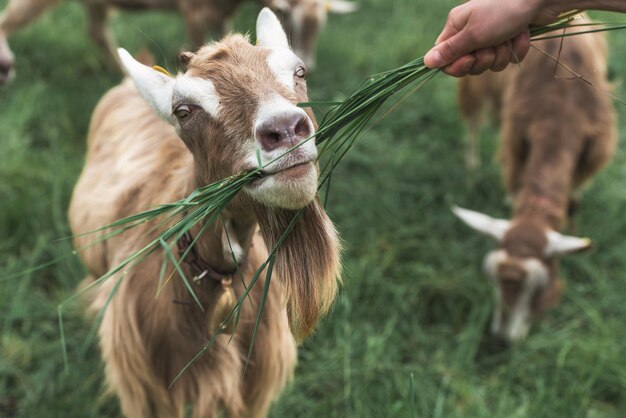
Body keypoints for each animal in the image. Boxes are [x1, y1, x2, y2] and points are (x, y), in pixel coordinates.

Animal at [450, 18, 612, 342]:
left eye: (540, 285)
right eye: (493, 278)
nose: (502, 338)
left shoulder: (591, 153)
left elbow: (573, 201)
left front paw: (573, 230)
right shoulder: (518, 138)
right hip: (475, 83)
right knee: (473, 123)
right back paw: (472, 170)